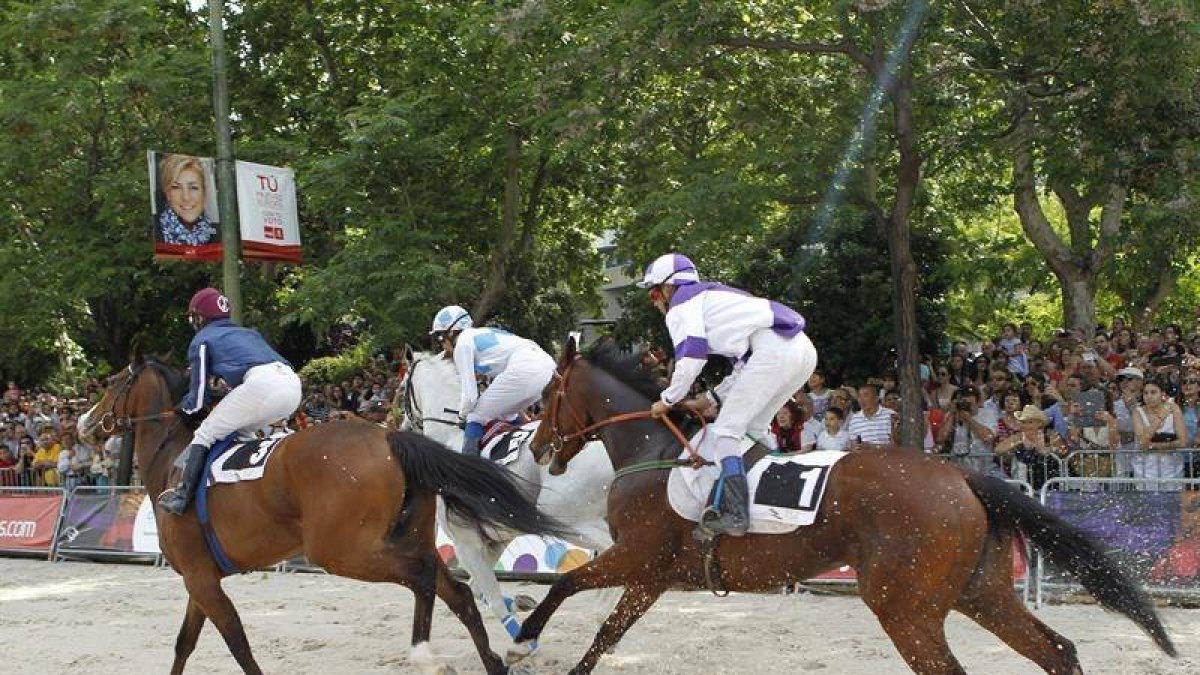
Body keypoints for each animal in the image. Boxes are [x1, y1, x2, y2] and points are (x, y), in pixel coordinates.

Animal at [76, 345, 561, 672]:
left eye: (115, 382)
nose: (84, 422)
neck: (174, 457)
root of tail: (389, 437)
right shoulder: (200, 579)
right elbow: (185, 644)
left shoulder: (201, 579)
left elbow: (237, 643)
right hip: (407, 538)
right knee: (456, 591)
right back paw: (492, 660)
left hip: (342, 551)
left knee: (422, 577)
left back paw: (426, 653)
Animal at [400, 348, 614, 643]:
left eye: (401, 389)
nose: (402, 426)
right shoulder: (496, 539)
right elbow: (479, 590)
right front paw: (522, 602)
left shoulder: (465, 542)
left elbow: (490, 596)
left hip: (565, 515)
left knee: (612, 547)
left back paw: (602, 608)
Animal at [511, 341, 1176, 672]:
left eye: (547, 395)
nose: (538, 448)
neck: (652, 450)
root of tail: (961, 476)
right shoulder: (653, 574)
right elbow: (606, 632)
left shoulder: (637, 556)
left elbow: (564, 587)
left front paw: (522, 641)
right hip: (979, 590)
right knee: (1057, 652)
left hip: (906, 607)